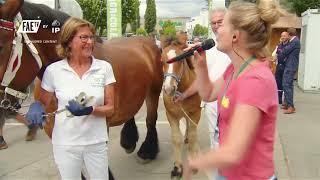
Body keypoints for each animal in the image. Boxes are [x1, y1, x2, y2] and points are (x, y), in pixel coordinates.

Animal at [161, 31, 201, 179]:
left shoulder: (195, 113)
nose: (168, 89)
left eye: (180, 59)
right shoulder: (171, 115)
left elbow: (194, 136)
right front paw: (177, 168)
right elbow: (176, 139)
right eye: (161, 60)